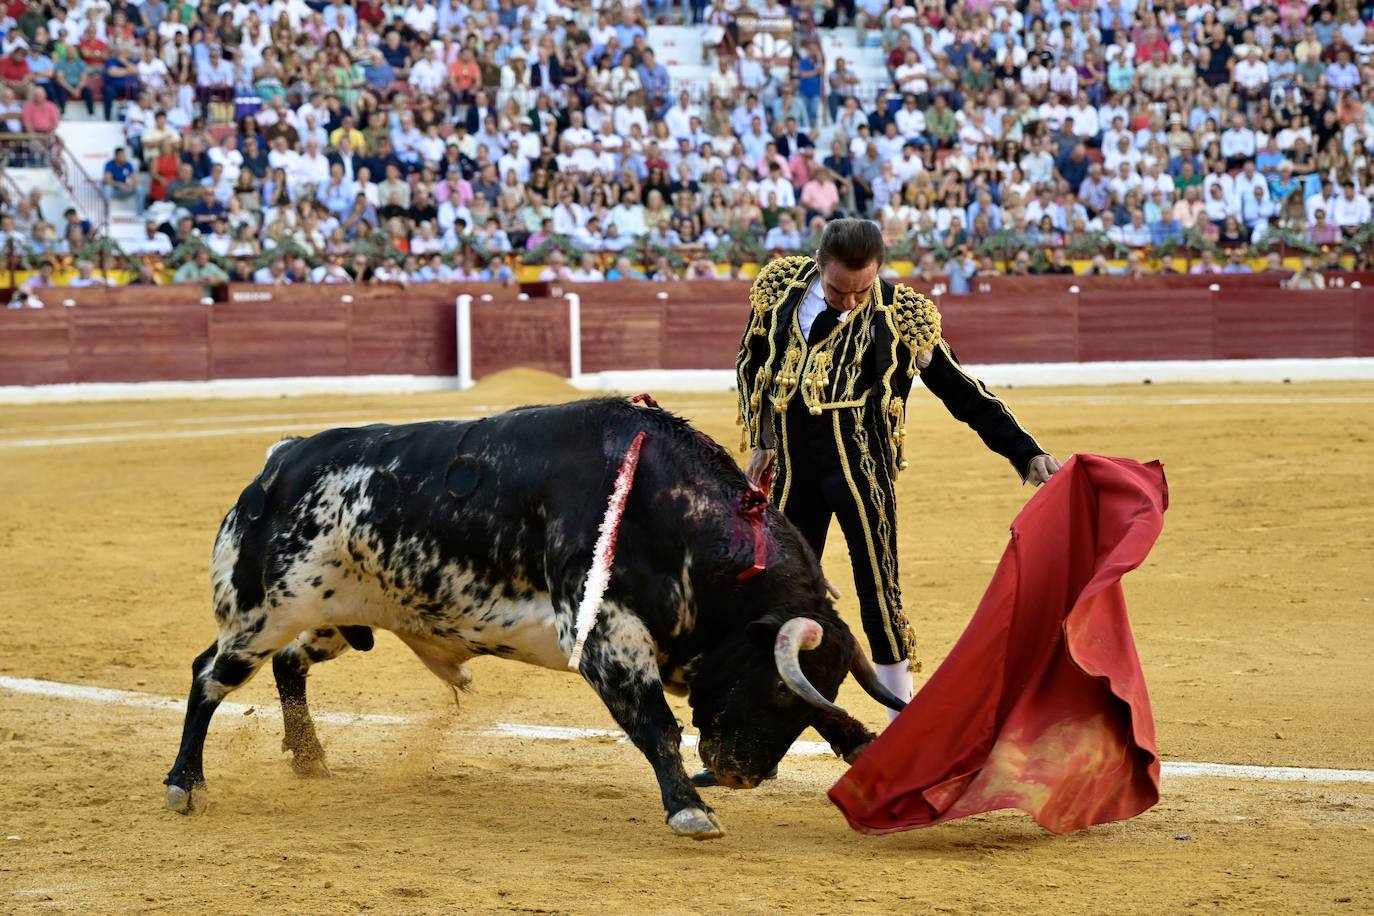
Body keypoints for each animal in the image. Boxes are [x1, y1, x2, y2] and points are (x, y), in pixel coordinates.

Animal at [166, 398, 906, 840]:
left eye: (803, 697)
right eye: (776, 690)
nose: (740, 773)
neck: (675, 516)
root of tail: (278, 462)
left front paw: (864, 744)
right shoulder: (608, 636)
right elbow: (655, 726)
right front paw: (690, 809)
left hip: (335, 618)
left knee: (290, 666)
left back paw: (310, 759)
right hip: (263, 611)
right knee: (208, 676)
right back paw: (184, 784)